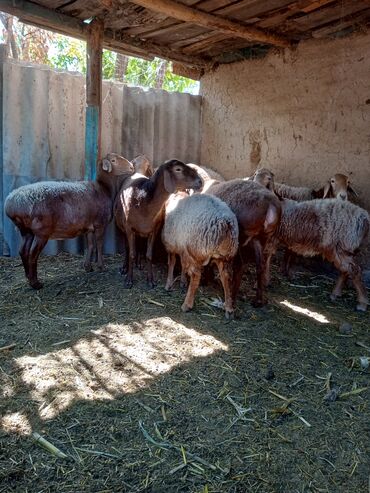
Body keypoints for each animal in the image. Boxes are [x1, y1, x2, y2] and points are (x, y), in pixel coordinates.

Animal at [5, 152, 135, 286]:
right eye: (113, 160)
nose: (132, 167)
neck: (104, 188)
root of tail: (11, 203)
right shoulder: (100, 223)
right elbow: (99, 244)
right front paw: (101, 266)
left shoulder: (88, 226)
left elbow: (90, 245)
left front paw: (88, 267)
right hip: (41, 232)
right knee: (32, 255)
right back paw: (35, 283)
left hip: (25, 231)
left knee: (23, 251)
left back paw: (27, 276)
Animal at [115, 158, 204, 288]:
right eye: (178, 169)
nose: (200, 181)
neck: (143, 200)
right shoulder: (128, 228)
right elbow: (131, 253)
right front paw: (129, 280)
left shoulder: (154, 229)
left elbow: (149, 255)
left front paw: (150, 280)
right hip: (122, 227)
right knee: (127, 248)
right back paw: (124, 267)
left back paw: (139, 263)